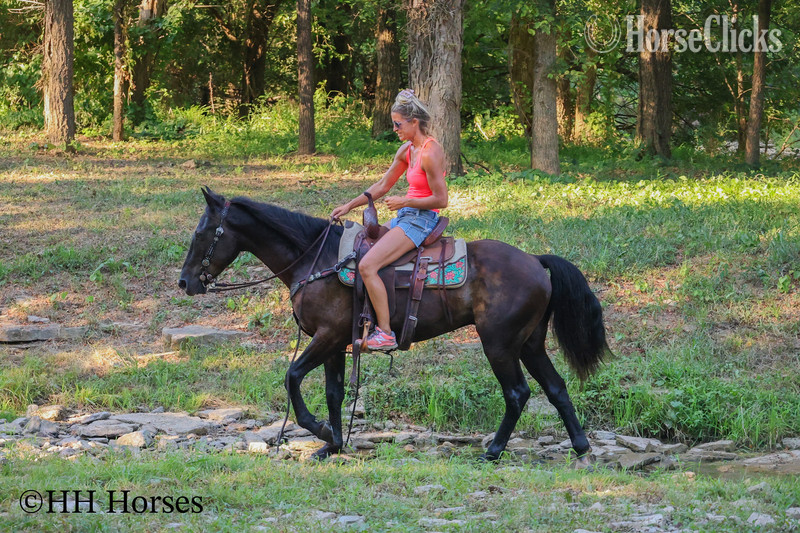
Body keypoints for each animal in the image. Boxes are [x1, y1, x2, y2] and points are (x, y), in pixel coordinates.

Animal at [179, 187, 611, 463]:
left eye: (202, 232)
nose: (185, 282)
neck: (318, 260)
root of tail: (536, 261)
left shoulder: (327, 337)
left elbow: (292, 377)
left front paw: (321, 432)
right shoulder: (336, 343)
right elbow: (334, 392)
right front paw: (333, 445)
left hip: (500, 344)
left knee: (517, 393)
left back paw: (493, 451)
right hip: (529, 343)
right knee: (556, 388)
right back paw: (581, 446)